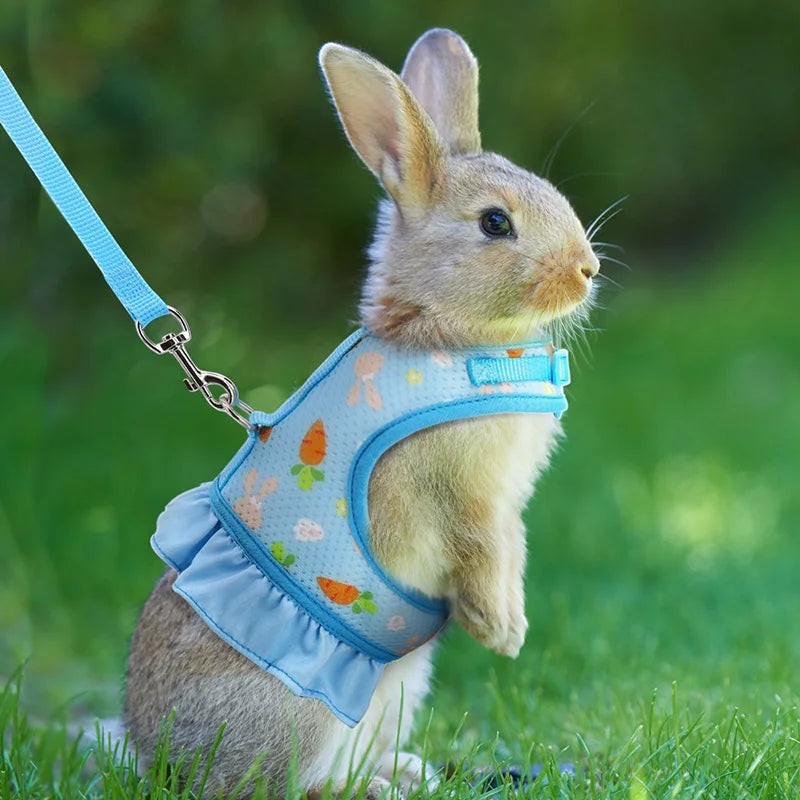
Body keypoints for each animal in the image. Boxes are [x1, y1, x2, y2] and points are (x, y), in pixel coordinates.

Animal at [124, 28, 599, 798]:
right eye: (495, 223)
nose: (587, 270)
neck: (448, 336)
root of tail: (160, 760)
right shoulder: (461, 494)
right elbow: (483, 548)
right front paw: (502, 632)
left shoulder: (505, 504)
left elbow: (512, 548)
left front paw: (506, 626)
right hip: (298, 709)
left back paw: (401, 771)